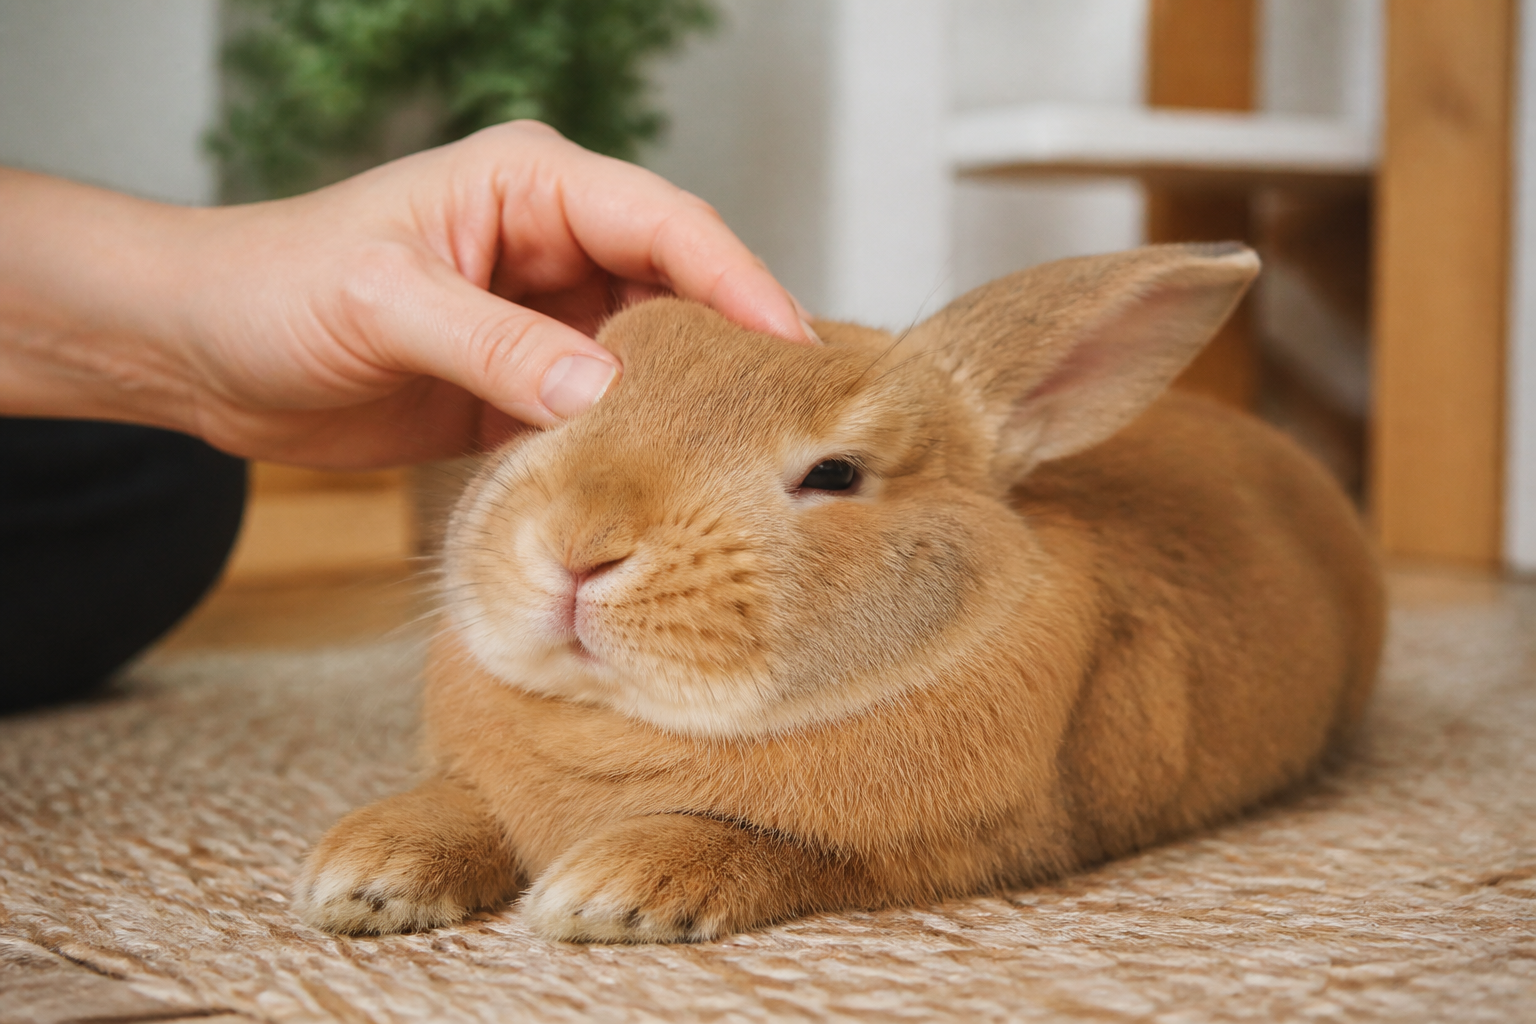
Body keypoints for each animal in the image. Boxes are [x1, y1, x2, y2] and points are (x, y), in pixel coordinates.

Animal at [293, 243, 1384, 943]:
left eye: (837, 474)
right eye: (553, 409)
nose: (579, 546)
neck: (623, 723)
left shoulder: (926, 852)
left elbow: (757, 844)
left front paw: (604, 895)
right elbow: (458, 806)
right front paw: (362, 874)